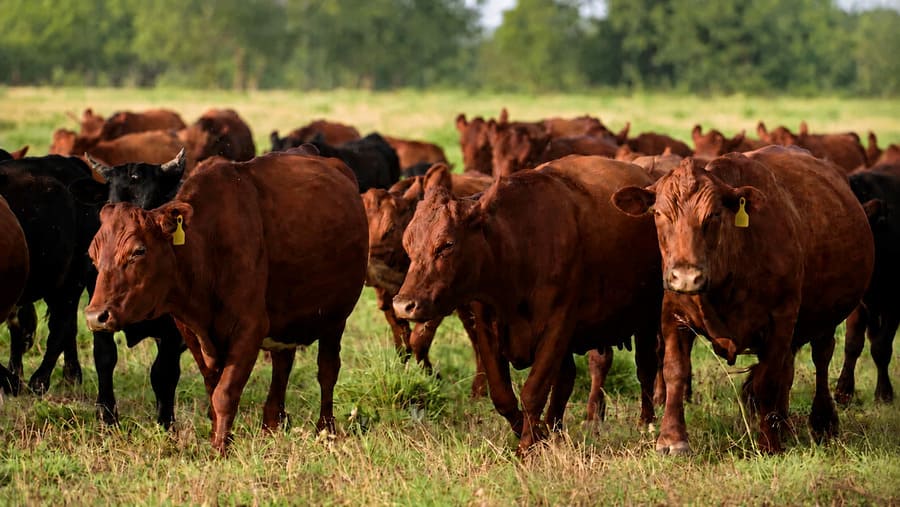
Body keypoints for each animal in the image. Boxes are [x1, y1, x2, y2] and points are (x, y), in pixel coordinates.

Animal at [84, 151, 369, 453]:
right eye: (93, 253)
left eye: (138, 250)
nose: (95, 316)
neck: (208, 247)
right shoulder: (192, 333)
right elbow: (213, 389)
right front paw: (218, 438)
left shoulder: (249, 329)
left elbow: (225, 392)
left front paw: (220, 447)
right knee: (282, 365)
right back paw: (271, 425)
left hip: (335, 320)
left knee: (327, 371)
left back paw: (326, 429)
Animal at [392, 155, 662, 456]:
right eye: (407, 244)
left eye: (446, 244)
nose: (404, 305)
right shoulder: (488, 327)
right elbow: (503, 396)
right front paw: (536, 434)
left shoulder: (557, 325)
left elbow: (533, 391)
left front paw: (527, 446)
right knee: (566, 379)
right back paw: (554, 430)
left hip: (648, 318)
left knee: (645, 368)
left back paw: (646, 423)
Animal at [612, 145, 874, 454]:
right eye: (660, 214)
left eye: (713, 215)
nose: (686, 276)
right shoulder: (673, 314)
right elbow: (675, 371)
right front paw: (672, 439)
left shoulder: (781, 318)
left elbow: (768, 381)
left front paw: (769, 444)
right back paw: (785, 424)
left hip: (825, 317)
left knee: (821, 359)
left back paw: (822, 421)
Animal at [835, 162, 900, 405]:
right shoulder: (858, 304)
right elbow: (853, 344)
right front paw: (843, 392)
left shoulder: (894, 303)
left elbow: (881, 347)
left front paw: (884, 393)